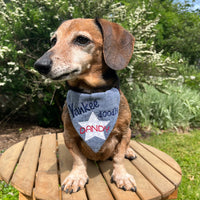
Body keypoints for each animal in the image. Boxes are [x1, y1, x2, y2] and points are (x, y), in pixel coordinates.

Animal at [34, 18, 138, 194]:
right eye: (53, 41)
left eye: (81, 39)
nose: (39, 65)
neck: (91, 94)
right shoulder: (69, 135)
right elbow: (79, 159)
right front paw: (76, 177)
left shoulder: (124, 133)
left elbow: (118, 157)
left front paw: (121, 175)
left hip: (129, 132)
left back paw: (129, 152)